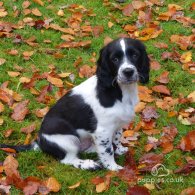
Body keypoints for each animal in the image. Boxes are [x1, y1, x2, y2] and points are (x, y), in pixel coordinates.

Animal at [0, 38, 149, 171]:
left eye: (135, 55)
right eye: (115, 59)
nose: (128, 72)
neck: (119, 91)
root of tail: (40, 142)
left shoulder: (116, 124)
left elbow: (117, 138)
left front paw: (120, 149)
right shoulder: (102, 130)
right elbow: (107, 151)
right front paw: (113, 168)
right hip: (68, 140)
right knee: (68, 159)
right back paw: (89, 164)